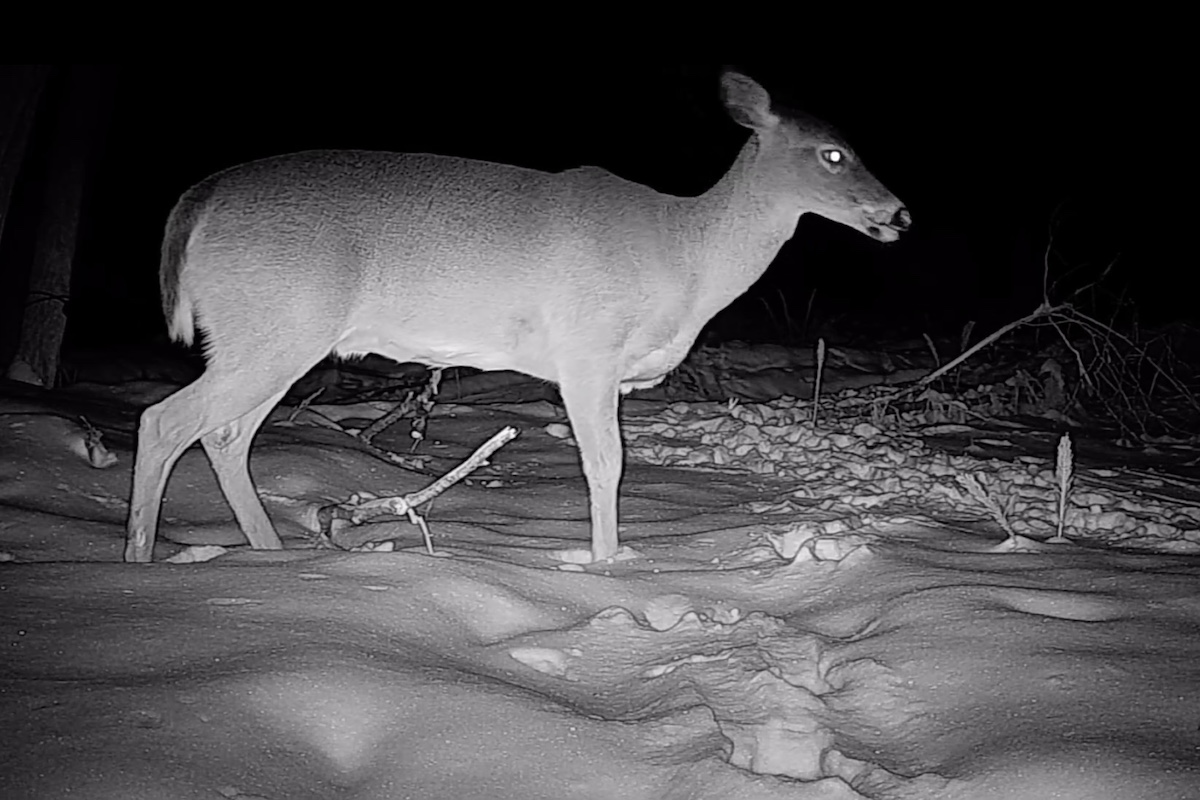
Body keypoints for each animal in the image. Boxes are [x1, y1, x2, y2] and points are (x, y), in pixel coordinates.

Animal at [125, 69, 910, 564]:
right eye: (833, 153)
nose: (900, 214)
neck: (684, 253)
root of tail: (197, 201)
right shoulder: (587, 351)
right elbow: (606, 464)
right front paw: (609, 565)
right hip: (275, 325)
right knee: (165, 421)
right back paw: (138, 562)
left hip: (272, 337)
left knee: (224, 435)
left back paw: (271, 554)